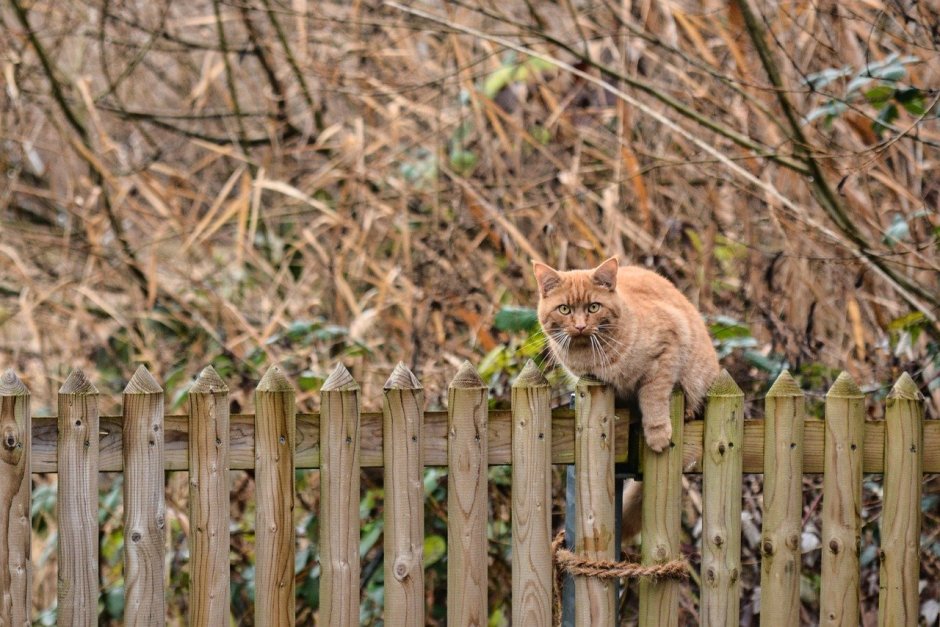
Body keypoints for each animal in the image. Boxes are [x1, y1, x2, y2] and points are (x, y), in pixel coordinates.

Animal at [532, 258, 716, 454]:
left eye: (594, 307)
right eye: (564, 309)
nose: (580, 326)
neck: (591, 355)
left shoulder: (665, 350)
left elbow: (653, 397)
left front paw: (657, 434)